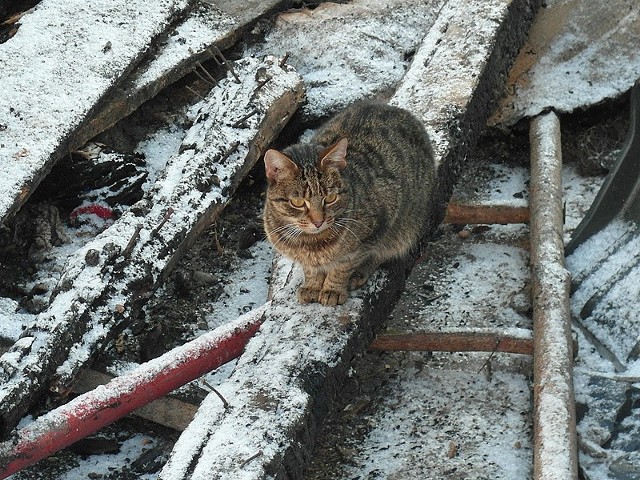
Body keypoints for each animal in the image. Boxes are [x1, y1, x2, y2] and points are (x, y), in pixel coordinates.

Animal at [260, 101, 436, 306]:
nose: (318, 221)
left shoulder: (374, 232)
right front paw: (312, 285)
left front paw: (332, 289)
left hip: (406, 224)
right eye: (297, 202)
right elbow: (310, 269)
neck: (311, 243)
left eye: (330, 198)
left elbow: (343, 267)